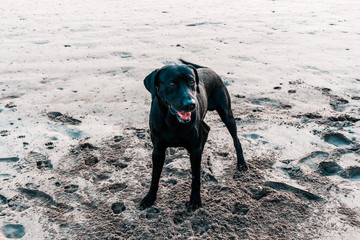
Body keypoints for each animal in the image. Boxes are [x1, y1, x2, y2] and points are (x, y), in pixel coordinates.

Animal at [141, 59, 248, 209]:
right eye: (172, 83)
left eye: (191, 81)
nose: (191, 104)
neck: (173, 121)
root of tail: (209, 69)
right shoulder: (158, 150)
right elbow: (155, 176)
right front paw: (150, 197)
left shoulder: (194, 151)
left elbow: (195, 177)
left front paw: (195, 200)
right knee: (206, 129)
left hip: (226, 114)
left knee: (236, 139)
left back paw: (241, 163)